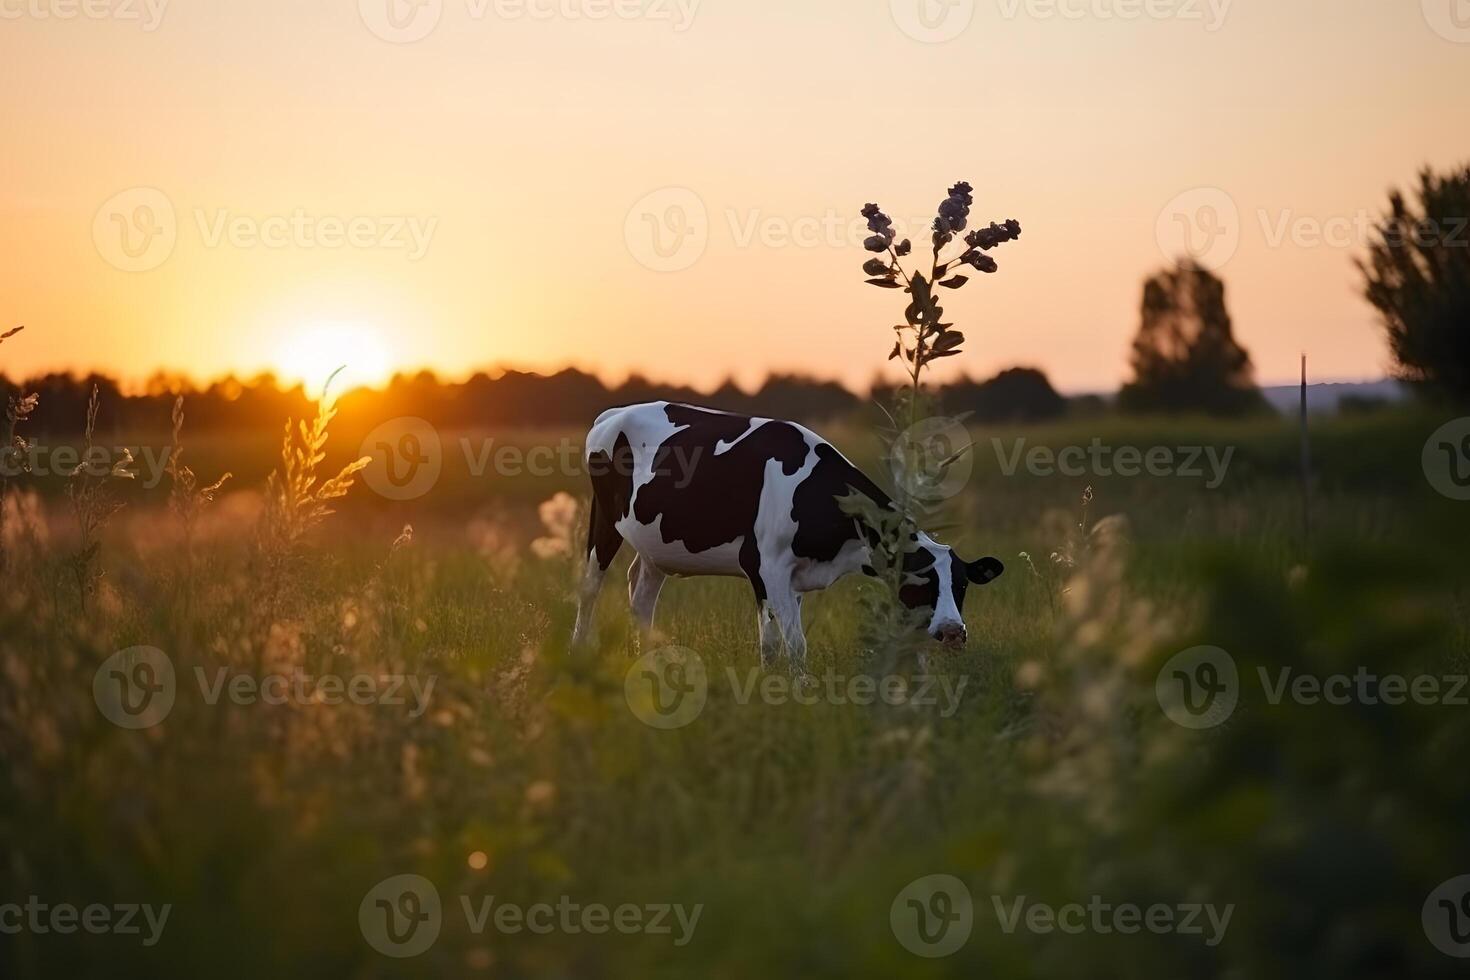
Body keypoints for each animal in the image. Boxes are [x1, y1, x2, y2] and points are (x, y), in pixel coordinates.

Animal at [567, 399, 1005, 667]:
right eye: (919, 581)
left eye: (962, 585)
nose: (952, 632)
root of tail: (614, 412)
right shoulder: (766, 566)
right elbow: (793, 644)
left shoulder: (790, 576)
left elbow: (773, 643)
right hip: (603, 521)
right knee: (589, 588)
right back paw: (579, 652)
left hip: (655, 544)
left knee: (641, 595)